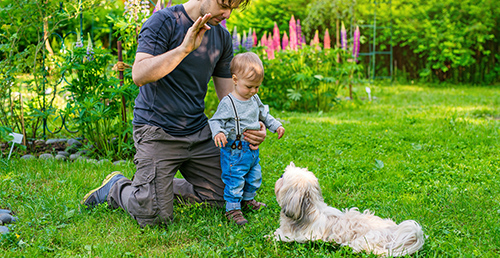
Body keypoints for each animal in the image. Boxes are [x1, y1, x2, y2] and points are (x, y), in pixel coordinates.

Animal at [272, 162, 424, 256]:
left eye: (283, 179)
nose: (280, 175)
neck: (308, 209)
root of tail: (395, 231)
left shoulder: (297, 237)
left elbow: (280, 237)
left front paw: (271, 237)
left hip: (364, 241)